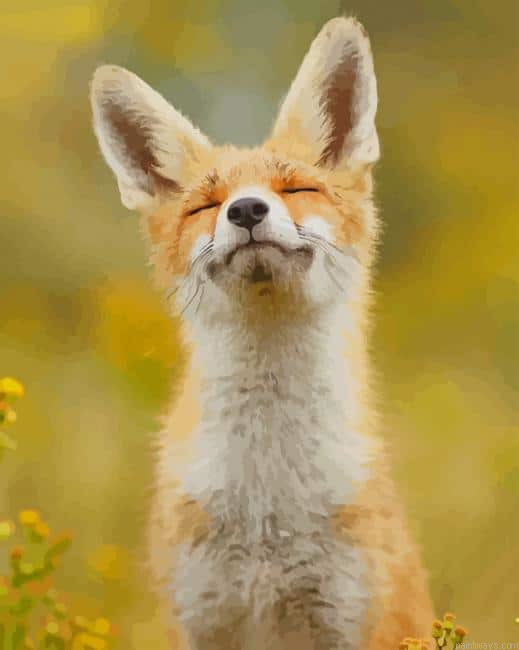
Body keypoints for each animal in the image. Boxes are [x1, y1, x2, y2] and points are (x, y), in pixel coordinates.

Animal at [90, 16, 434, 650]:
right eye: (206, 205)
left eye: (296, 190)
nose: (247, 211)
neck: (267, 508)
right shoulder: (199, 617)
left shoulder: (350, 617)